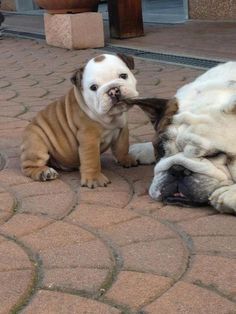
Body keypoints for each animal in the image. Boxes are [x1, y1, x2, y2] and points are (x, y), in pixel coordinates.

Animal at [20, 53, 138, 188]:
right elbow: (92, 160)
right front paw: (94, 179)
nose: (113, 91)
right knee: (29, 166)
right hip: (36, 142)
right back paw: (44, 172)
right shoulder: (89, 138)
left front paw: (126, 159)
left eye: (123, 76)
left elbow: (123, 146)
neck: (111, 118)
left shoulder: (122, 128)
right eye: (93, 87)